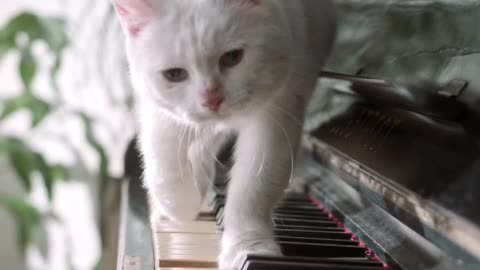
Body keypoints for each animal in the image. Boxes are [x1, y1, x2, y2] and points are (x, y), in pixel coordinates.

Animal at [112, 0, 338, 266]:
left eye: (232, 57)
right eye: (174, 74)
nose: (212, 99)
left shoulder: (278, 115)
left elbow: (253, 189)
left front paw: (248, 249)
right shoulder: (161, 111)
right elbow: (163, 161)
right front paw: (179, 206)